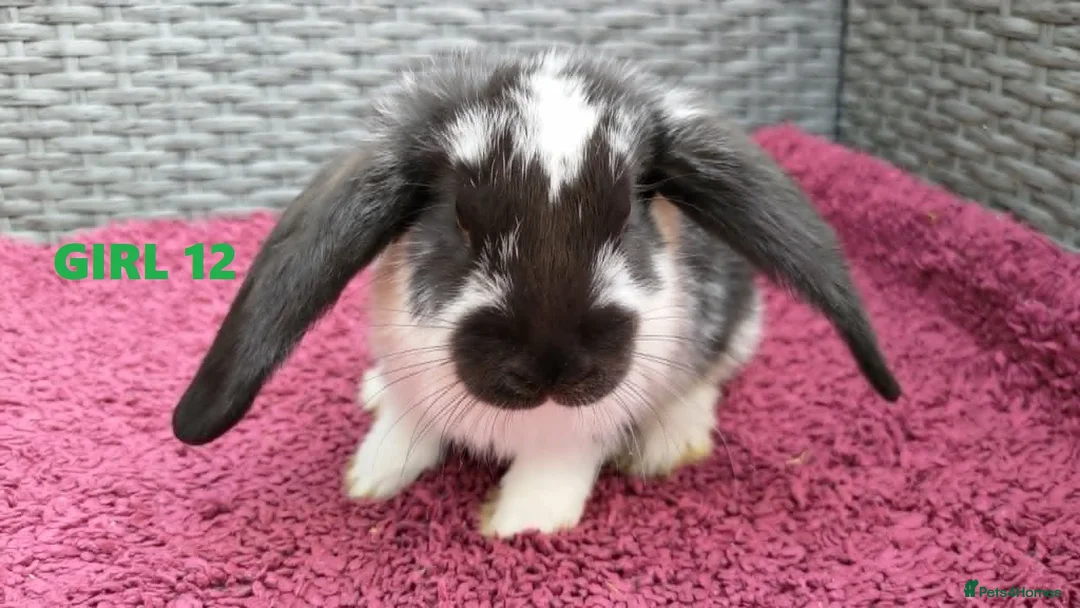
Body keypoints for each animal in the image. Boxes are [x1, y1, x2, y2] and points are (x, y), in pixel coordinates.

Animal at [170, 48, 901, 538]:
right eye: (460, 218)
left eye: (627, 214)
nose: (552, 365)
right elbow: (406, 421)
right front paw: (373, 476)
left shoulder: (586, 424)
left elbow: (557, 464)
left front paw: (518, 523)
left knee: (711, 373)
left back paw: (668, 441)